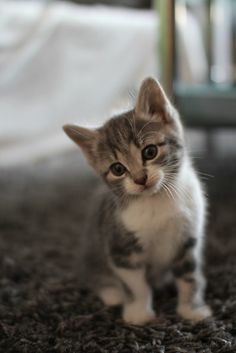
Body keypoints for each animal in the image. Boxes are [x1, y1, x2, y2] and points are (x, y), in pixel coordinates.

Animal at [63, 77, 212, 324]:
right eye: (117, 169)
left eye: (150, 152)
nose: (140, 179)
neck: (157, 199)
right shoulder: (121, 248)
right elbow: (137, 285)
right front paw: (138, 314)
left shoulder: (188, 239)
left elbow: (189, 276)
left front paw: (192, 310)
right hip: (93, 250)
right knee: (95, 277)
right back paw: (112, 293)